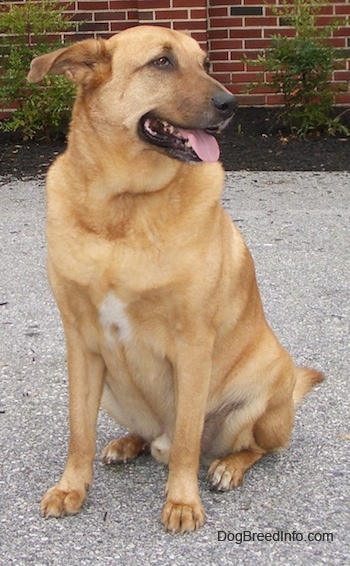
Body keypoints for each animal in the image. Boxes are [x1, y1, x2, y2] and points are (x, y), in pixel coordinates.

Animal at [27, 24, 322, 536]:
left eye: (205, 63)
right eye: (161, 62)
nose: (231, 104)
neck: (122, 207)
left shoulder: (192, 345)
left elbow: (187, 437)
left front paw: (182, 501)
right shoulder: (81, 342)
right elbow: (79, 432)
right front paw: (71, 488)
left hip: (262, 402)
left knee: (253, 447)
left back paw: (227, 467)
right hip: (112, 390)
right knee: (147, 436)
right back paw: (128, 443)